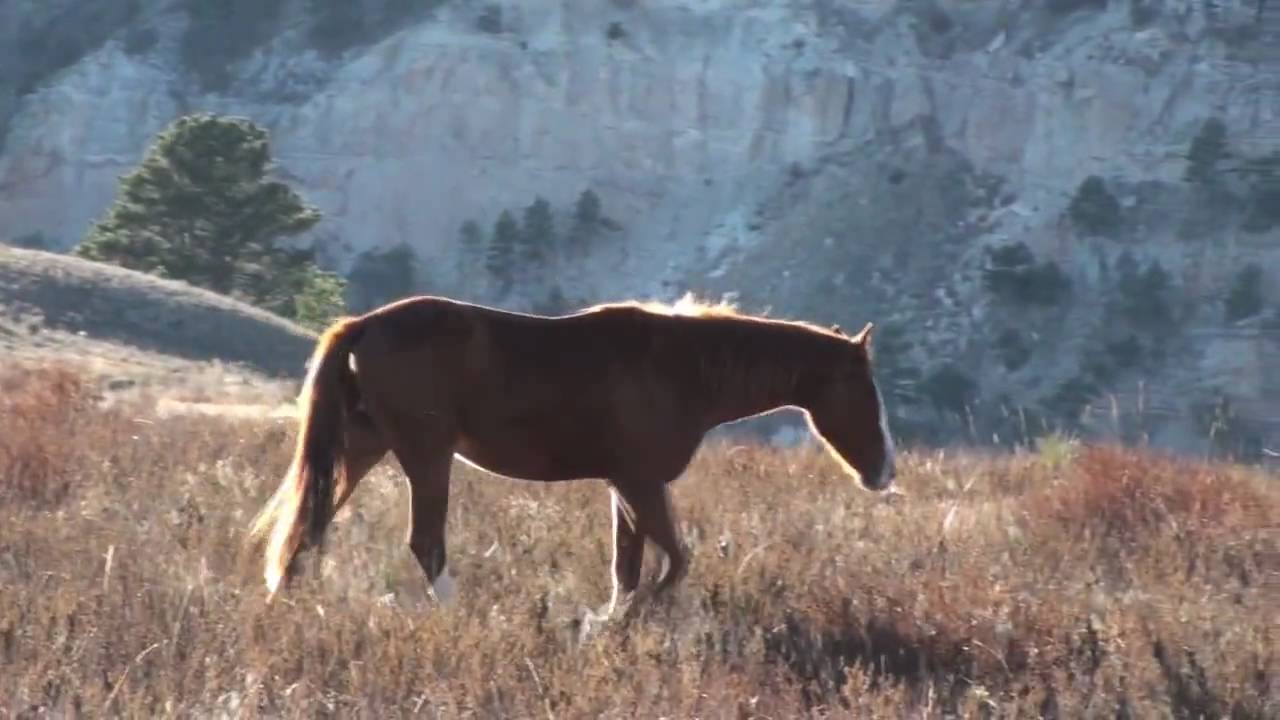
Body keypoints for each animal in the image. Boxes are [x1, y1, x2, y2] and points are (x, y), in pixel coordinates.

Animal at [247, 293, 896, 617]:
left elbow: (629, 568)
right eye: (864, 390)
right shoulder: (640, 483)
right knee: (424, 543)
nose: (884, 472)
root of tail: (362, 326)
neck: (681, 368)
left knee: (309, 529)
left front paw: (618, 623)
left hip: (362, 448)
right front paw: (620, 623)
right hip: (425, 456)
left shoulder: (625, 488)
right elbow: (672, 564)